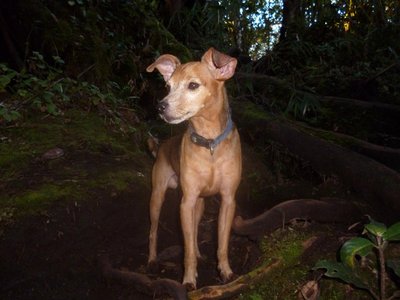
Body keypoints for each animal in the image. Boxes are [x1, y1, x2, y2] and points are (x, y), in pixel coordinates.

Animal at [147, 48, 241, 290]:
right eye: (168, 86)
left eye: (193, 85)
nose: (160, 106)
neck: (209, 144)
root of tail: (162, 147)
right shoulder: (185, 203)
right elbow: (186, 250)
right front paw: (189, 279)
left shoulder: (228, 200)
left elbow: (221, 243)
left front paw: (226, 271)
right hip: (157, 197)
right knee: (153, 231)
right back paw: (151, 260)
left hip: (199, 204)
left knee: (196, 230)